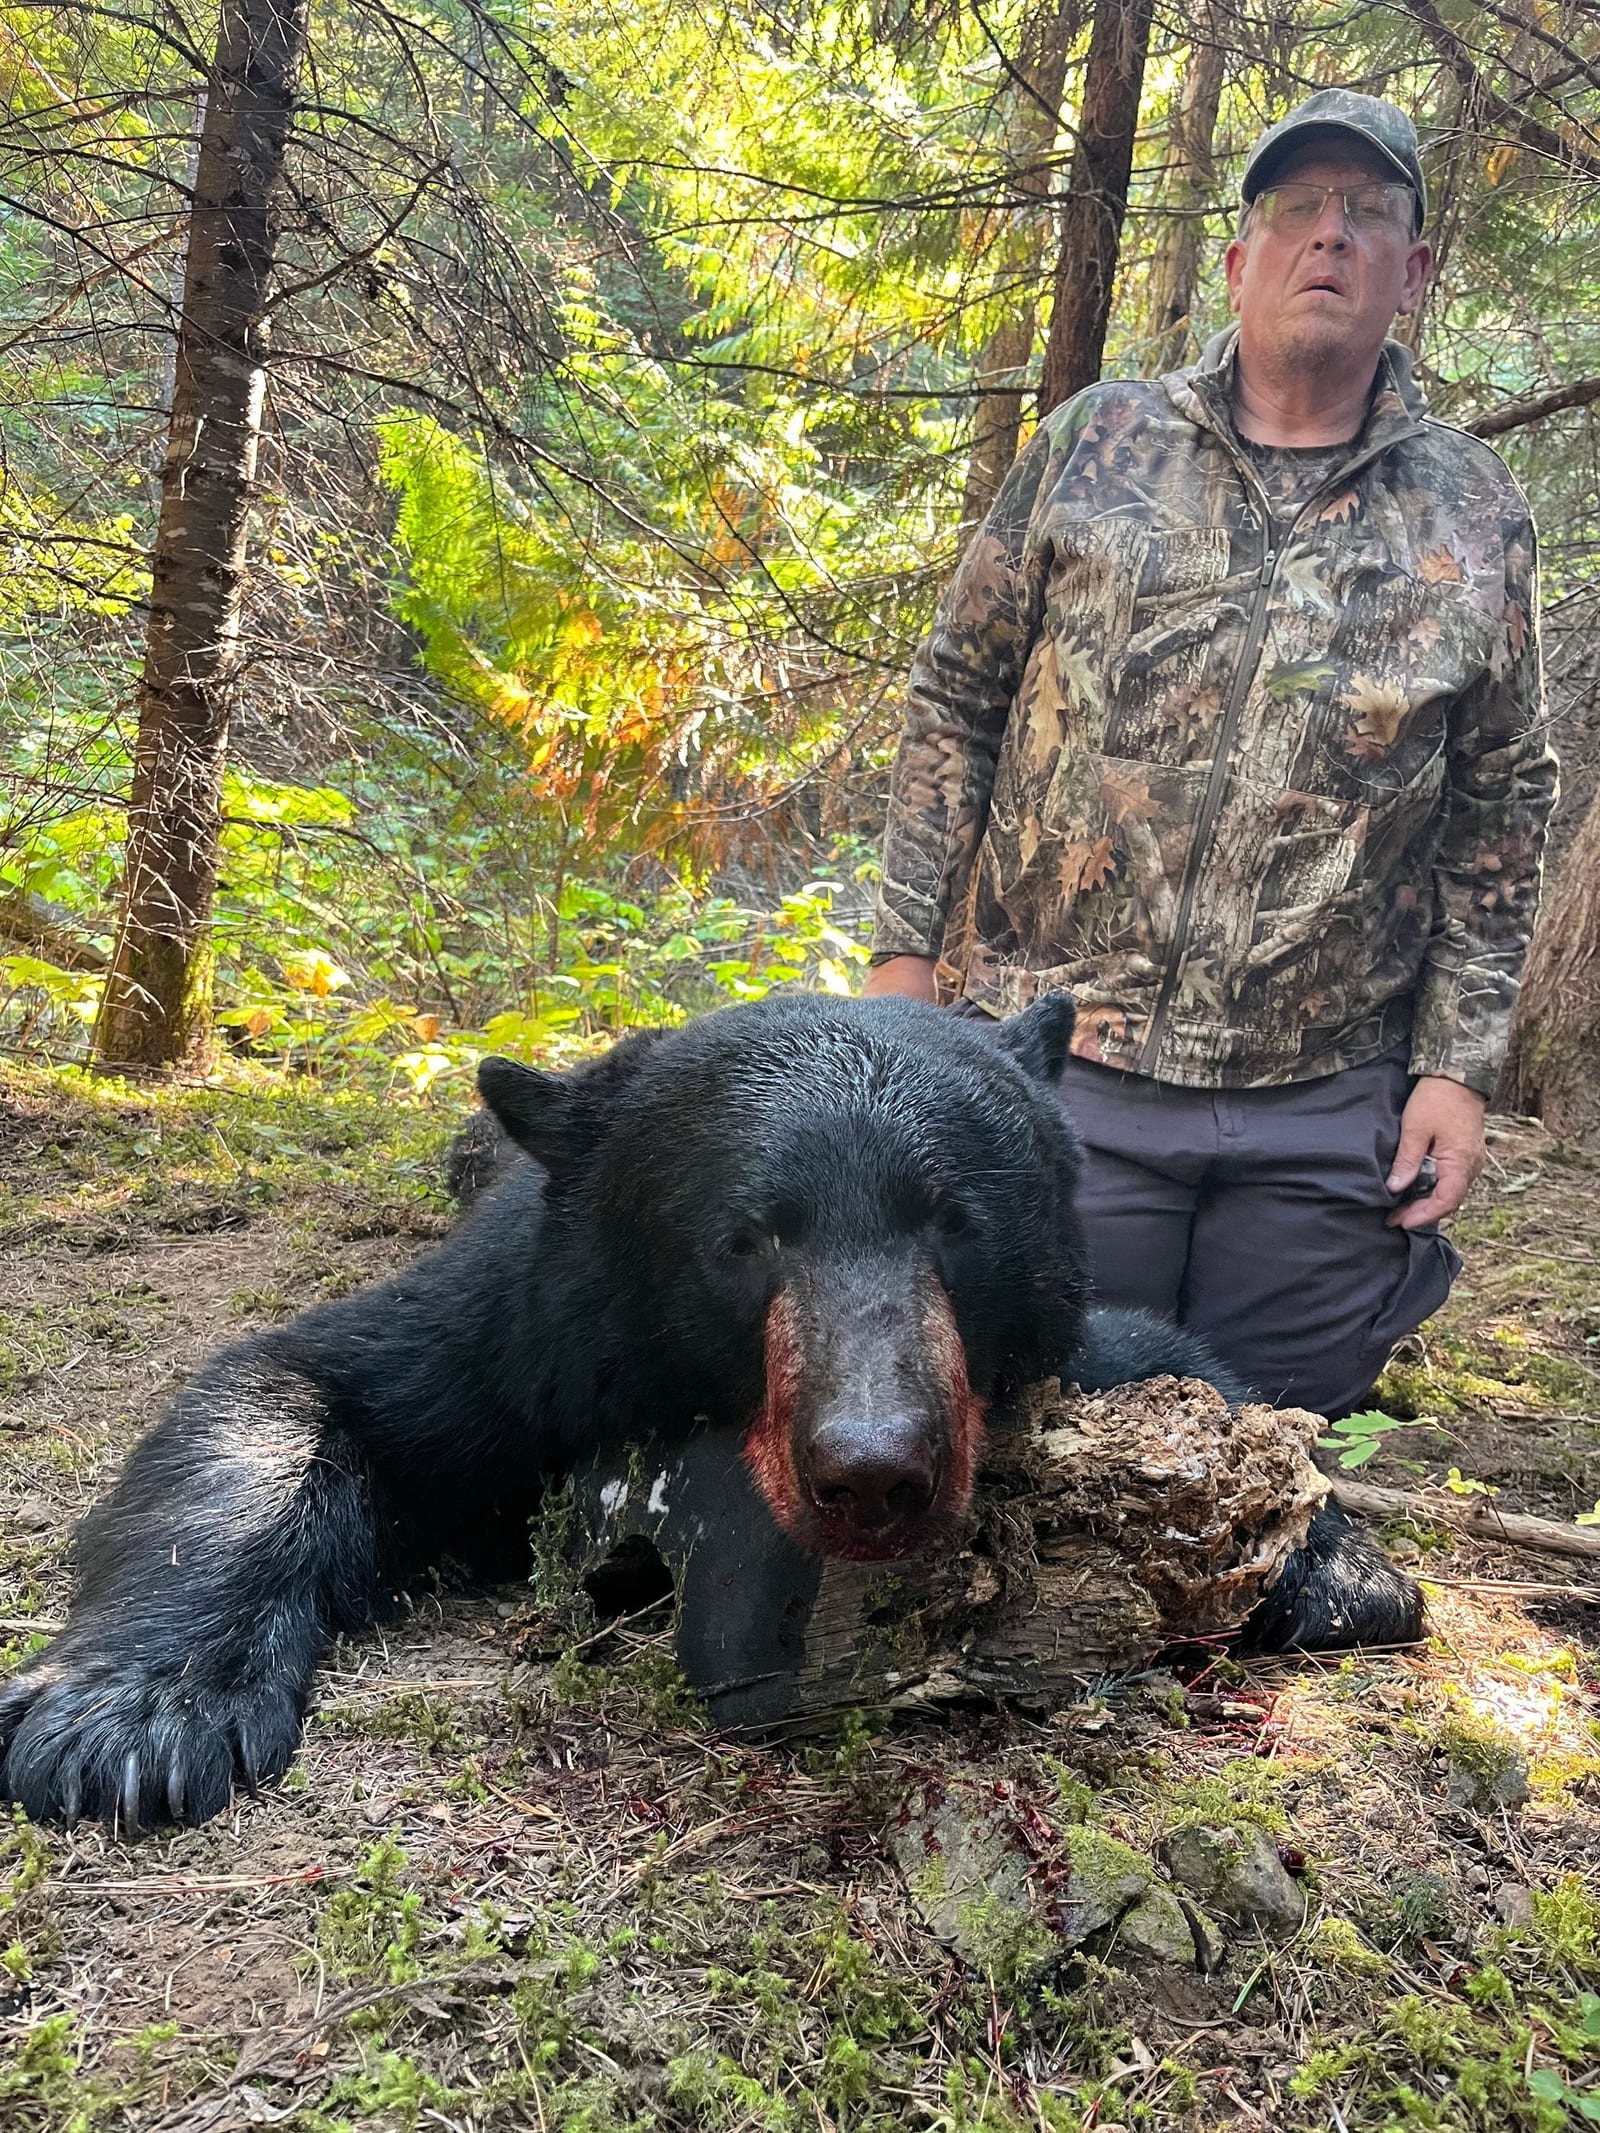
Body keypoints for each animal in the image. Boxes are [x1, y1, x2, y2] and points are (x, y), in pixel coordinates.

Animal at [0, 991, 1420, 1831]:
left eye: (956, 1223)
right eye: (745, 1237)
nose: (874, 1468)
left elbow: (1178, 1364)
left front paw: (1336, 1565)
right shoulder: (517, 1339)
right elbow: (285, 1388)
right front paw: (129, 1721)